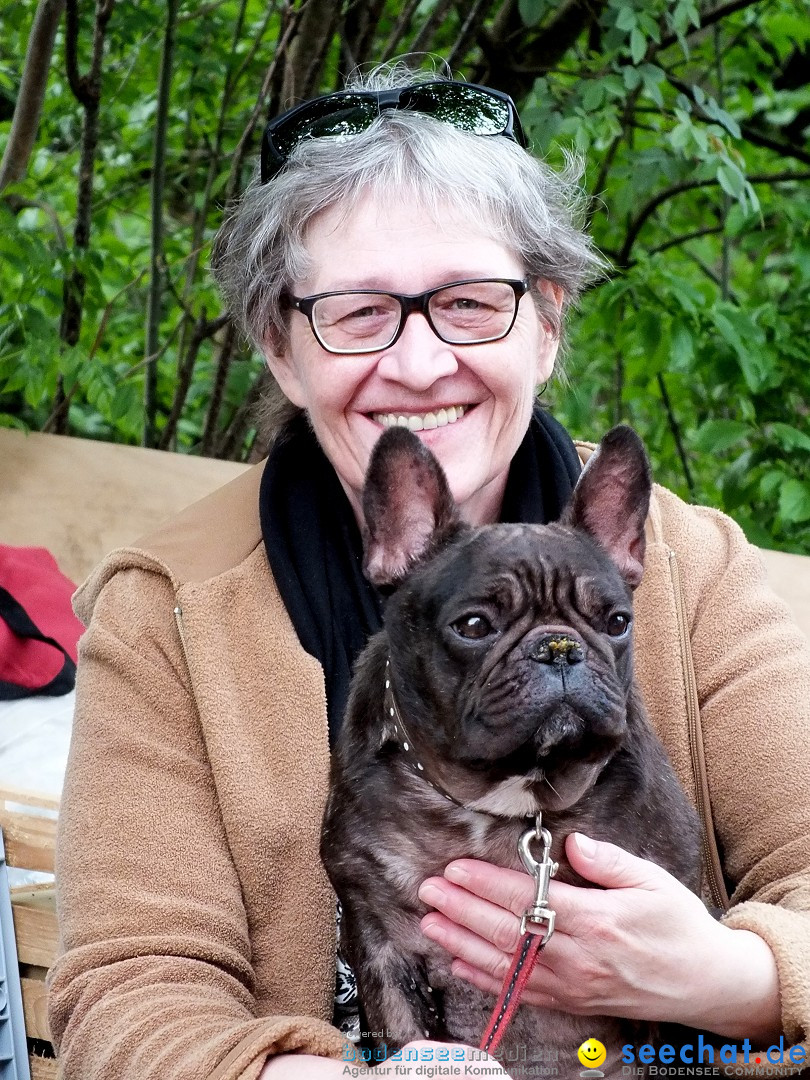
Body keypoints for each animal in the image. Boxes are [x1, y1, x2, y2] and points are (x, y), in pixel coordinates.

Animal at [321, 425, 704, 1075]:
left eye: (618, 622)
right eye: (474, 626)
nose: (559, 647)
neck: (509, 801)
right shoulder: (382, 948)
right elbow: (404, 1034)